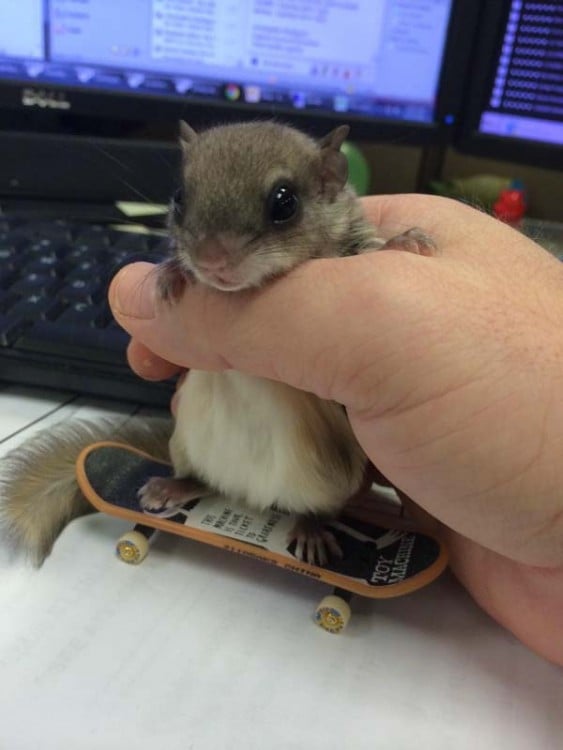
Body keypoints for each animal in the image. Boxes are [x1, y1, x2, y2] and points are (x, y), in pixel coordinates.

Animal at [0, 119, 436, 564]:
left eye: (285, 203)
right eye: (179, 197)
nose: (210, 259)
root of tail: (248, 495)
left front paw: (404, 241)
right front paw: (169, 275)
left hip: (330, 479)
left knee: (316, 509)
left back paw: (311, 530)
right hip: (186, 445)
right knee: (203, 481)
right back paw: (172, 487)